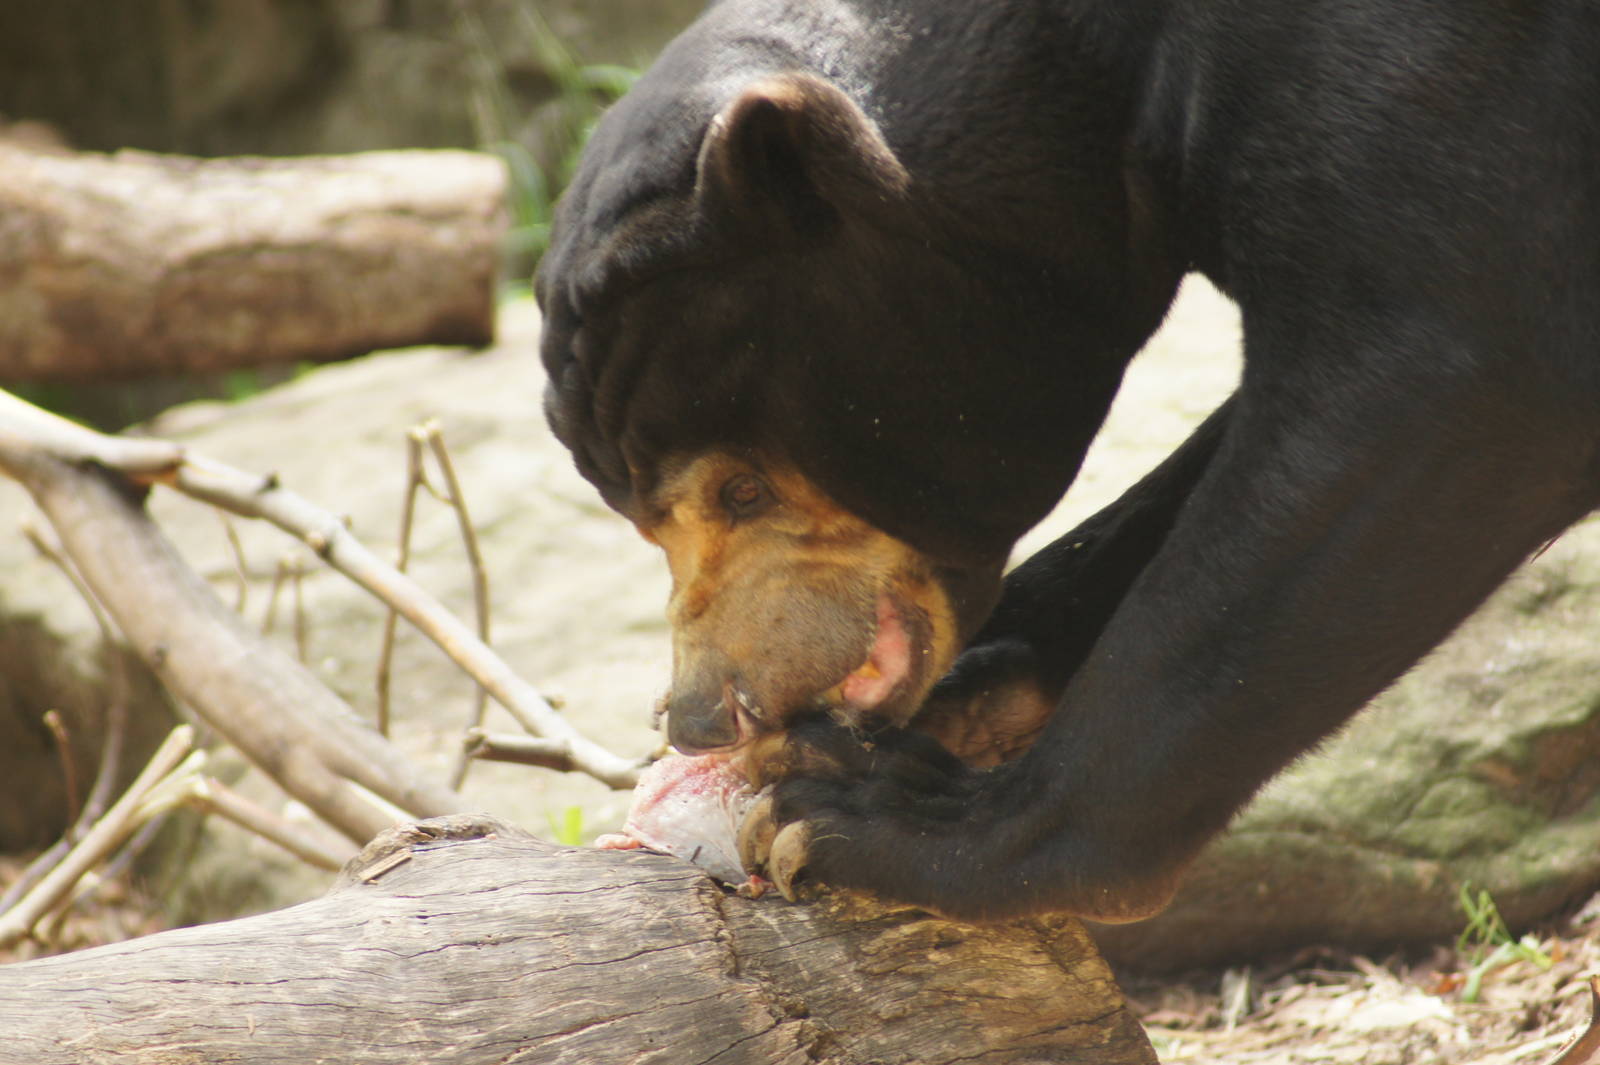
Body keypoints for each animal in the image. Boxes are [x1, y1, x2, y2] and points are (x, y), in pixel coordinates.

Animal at [536, 0, 1600, 923]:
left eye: (744, 487)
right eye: (636, 513)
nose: (700, 717)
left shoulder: (1429, 81)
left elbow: (1435, 392)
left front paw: (876, 821)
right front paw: (947, 703)